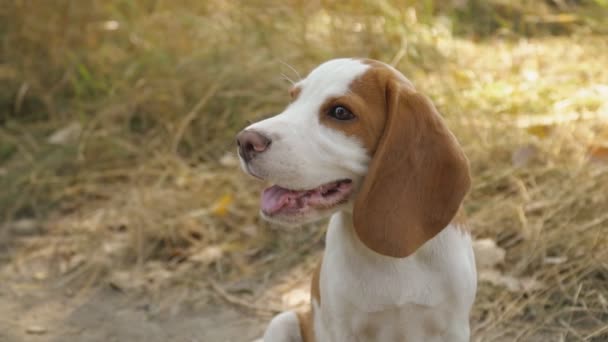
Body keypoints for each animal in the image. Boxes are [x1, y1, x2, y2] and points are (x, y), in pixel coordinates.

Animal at [235, 58, 478, 342]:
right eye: (293, 98)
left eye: (340, 112)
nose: (244, 141)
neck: (394, 261)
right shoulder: (343, 330)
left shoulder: (454, 327)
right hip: (283, 322)